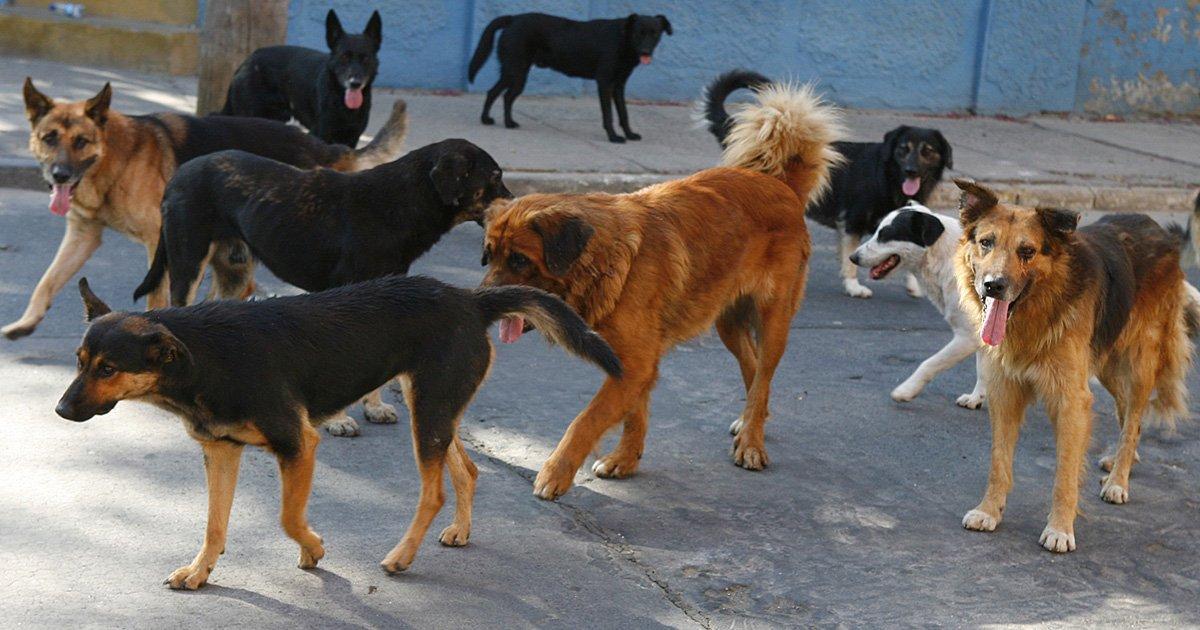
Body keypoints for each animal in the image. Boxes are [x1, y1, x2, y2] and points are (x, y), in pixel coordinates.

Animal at [468, 12, 672, 142]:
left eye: (654, 34)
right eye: (638, 33)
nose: (646, 51)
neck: (623, 40)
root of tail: (513, 18)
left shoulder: (619, 85)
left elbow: (623, 113)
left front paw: (630, 134)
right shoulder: (604, 82)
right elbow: (608, 114)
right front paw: (613, 137)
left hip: (512, 72)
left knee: (496, 93)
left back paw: (492, 120)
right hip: (516, 71)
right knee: (504, 95)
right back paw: (504, 122)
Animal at [480, 82, 844, 496]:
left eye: (519, 260)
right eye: (488, 256)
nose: (483, 299)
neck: (607, 259)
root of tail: (780, 185)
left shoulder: (635, 363)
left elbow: (586, 420)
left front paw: (556, 472)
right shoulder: (632, 364)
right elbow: (633, 414)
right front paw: (626, 460)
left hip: (773, 320)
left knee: (764, 372)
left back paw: (752, 441)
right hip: (727, 322)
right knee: (753, 371)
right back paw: (752, 420)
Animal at [705, 69, 950, 298]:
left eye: (928, 151)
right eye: (903, 149)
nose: (911, 170)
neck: (887, 177)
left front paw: (914, 284)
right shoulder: (852, 222)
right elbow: (851, 261)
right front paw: (854, 287)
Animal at [844, 201, 984, 408]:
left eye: (885, 235)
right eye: (876, 230)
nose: (853, 258)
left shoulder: (968, 336)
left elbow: (929, 363)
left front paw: (907, 390)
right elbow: (984, 371)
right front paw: (976, 398)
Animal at [950, 178, 1195, 552]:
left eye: (1027, 251)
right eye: (986, 243)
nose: (993, 286)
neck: (1039, 309)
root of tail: (1160, 231)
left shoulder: (1071, 400)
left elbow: (1065, 474)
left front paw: (1060, 528)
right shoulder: (1005, 391)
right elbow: (998, 463)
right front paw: (989, 511)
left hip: (1139, 363)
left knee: (1134, 416)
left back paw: (1118, 478)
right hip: (1107, 365)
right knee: (1128, 413)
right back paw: (1121, 460)